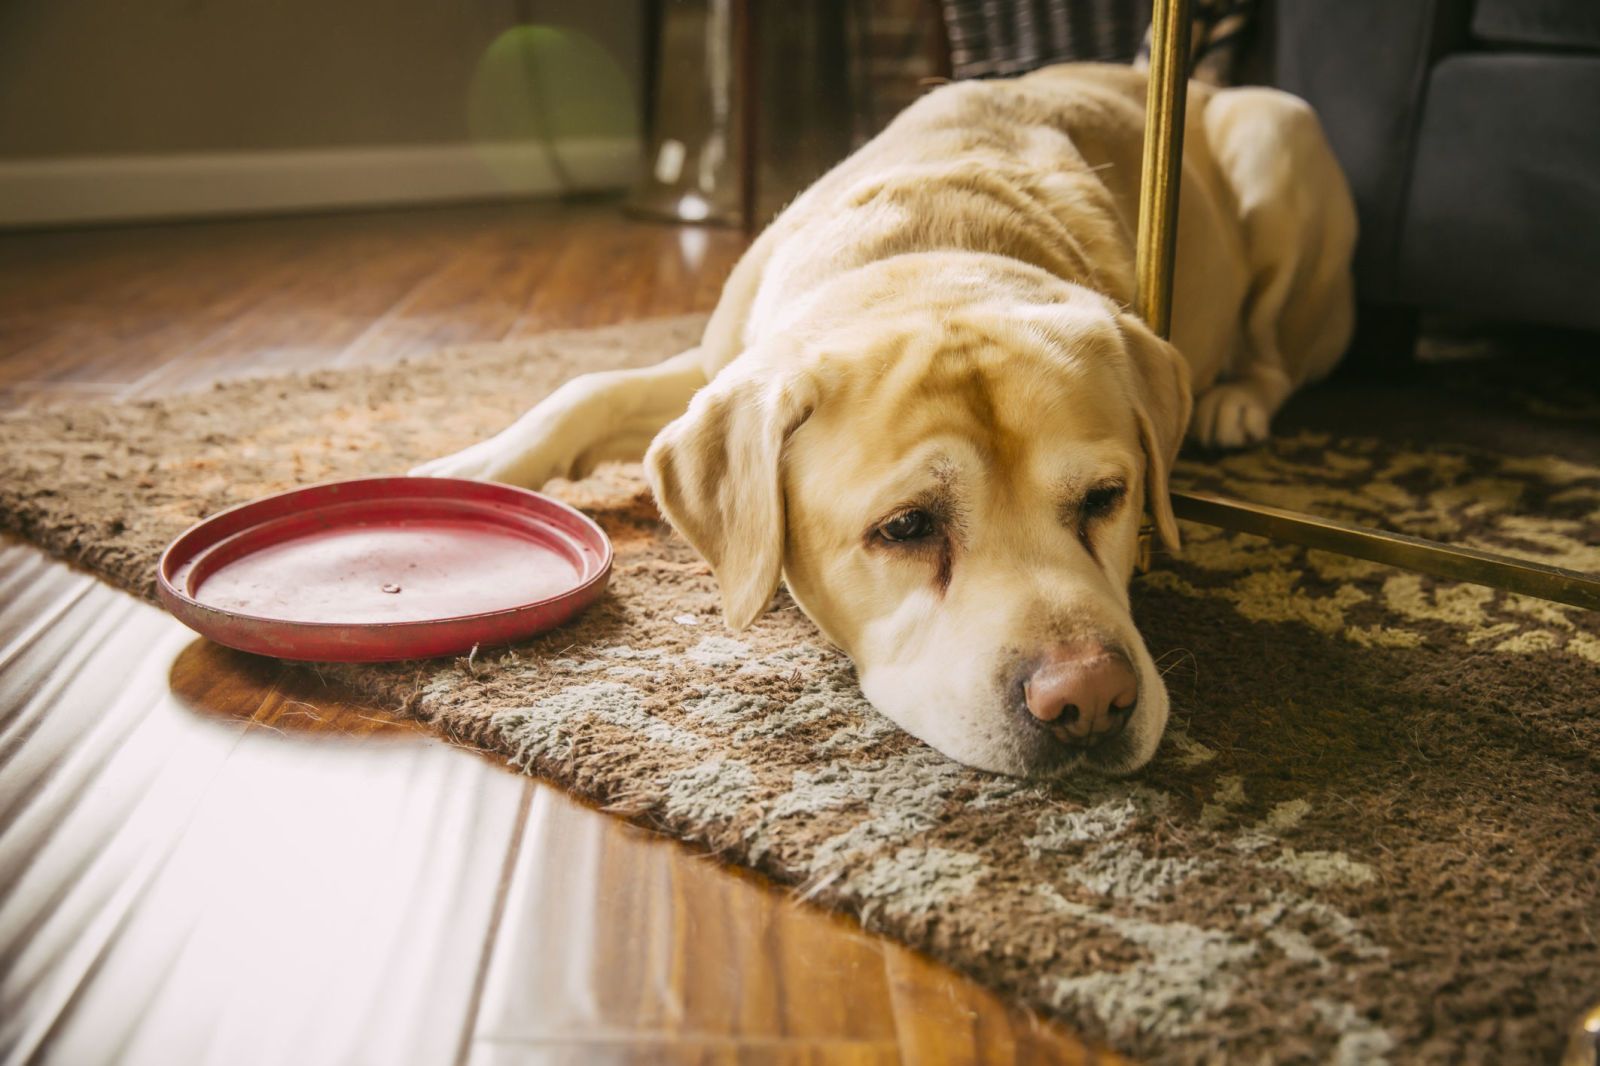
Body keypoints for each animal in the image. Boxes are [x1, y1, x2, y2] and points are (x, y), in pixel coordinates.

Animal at [412, 66, 1350, 777]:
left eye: (1106, 499)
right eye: (906, 527)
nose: (1089, 700)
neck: (926, 250)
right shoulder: (719, 363)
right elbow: (586, 386)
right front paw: (464, 470)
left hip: (1281, 134)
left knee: (1277, 351)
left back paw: (1235, 400)